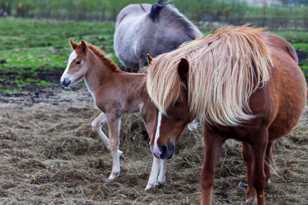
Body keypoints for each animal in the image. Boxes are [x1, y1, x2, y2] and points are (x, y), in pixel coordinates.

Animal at [59, 38, 166, 189]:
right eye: (69, 60)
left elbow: (115, 140)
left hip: (149, 115)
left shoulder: (112, 113)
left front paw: (114, 173)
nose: (64, 81)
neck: (105, 81)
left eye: (78, 61)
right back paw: (161, 180)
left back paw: (151, 183)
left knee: (154, 144)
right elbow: (95, 125)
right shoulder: (113, 113)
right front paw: (120, 154)